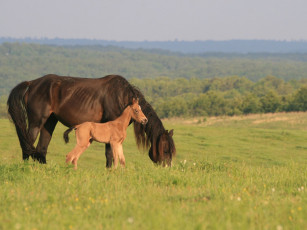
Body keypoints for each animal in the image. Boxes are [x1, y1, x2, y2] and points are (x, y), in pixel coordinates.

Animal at [6, 74, 176, 166]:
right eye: (165, 150)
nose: (167, 168)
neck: (121, 96)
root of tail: (32, 83)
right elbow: (109, 154)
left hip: (49, 122)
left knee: (41, 149)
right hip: (36, 122)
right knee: (27, 144)